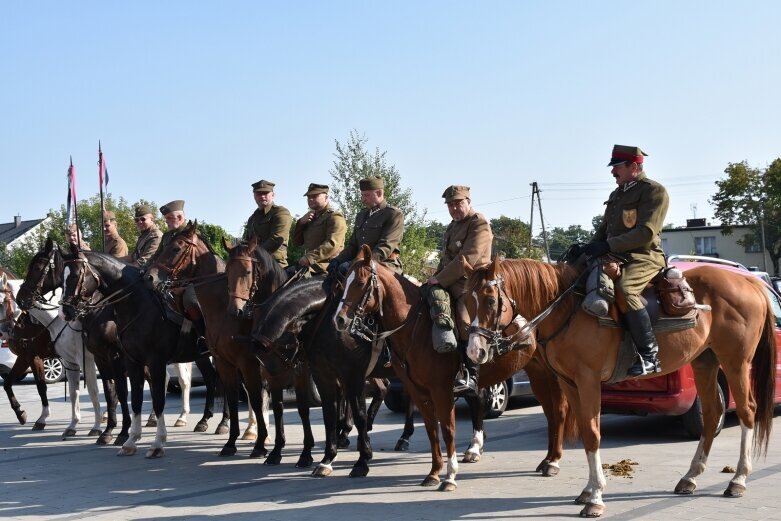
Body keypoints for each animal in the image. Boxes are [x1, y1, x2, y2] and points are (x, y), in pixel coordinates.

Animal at [58, 248, 219, 456]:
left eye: (76, 275)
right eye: (60, 277)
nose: (66, 311)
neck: (137, 304)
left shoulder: (152, 361)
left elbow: (156, 399)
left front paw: (156, 442)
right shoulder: (131, 361)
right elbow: (133, 398)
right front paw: (130, 440)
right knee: (213, 378)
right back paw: (209, 421)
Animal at [330, 244, 572, 488]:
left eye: (360, 283)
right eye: (343, 281)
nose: (339, 319)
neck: (416, 328)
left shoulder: (441, 390)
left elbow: (448, 429)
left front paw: (450, 475)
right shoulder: (417, 391)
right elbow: (431, 429)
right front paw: (434, 472)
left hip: (553, 376)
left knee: (559, 410)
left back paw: (553, 461)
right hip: (537, 374)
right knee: (549, 412)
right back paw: (545, 458)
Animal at [466, 256, 776, 516]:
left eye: (491, 301)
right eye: (468, 300)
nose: (474, 351)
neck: (567, 311)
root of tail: (750, 281)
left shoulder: (588, 380)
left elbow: (592, 434)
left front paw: (595, 498)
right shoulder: (570, 384)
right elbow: (585, 431)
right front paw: (588, 490)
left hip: (735, 363)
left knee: (747, 411)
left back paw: (738, 479)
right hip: (705, 362)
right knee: (712, 414)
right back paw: (690, 477)